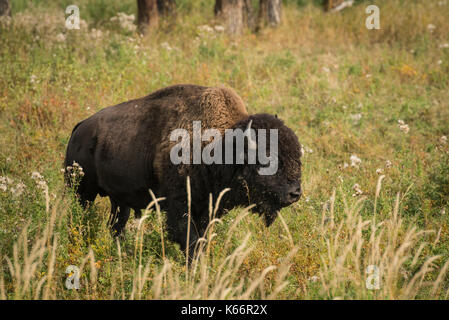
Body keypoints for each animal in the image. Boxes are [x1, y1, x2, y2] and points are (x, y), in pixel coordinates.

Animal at [64, 84, 300, 255]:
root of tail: (80, 128)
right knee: (79, 219)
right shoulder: (180, 207)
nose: (295, 193)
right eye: (267, 160)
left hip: (120, 201)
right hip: (82, 193)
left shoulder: (206, 209)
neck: (221, 145)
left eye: (296, 157)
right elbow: (191, 242)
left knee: (116, 226)